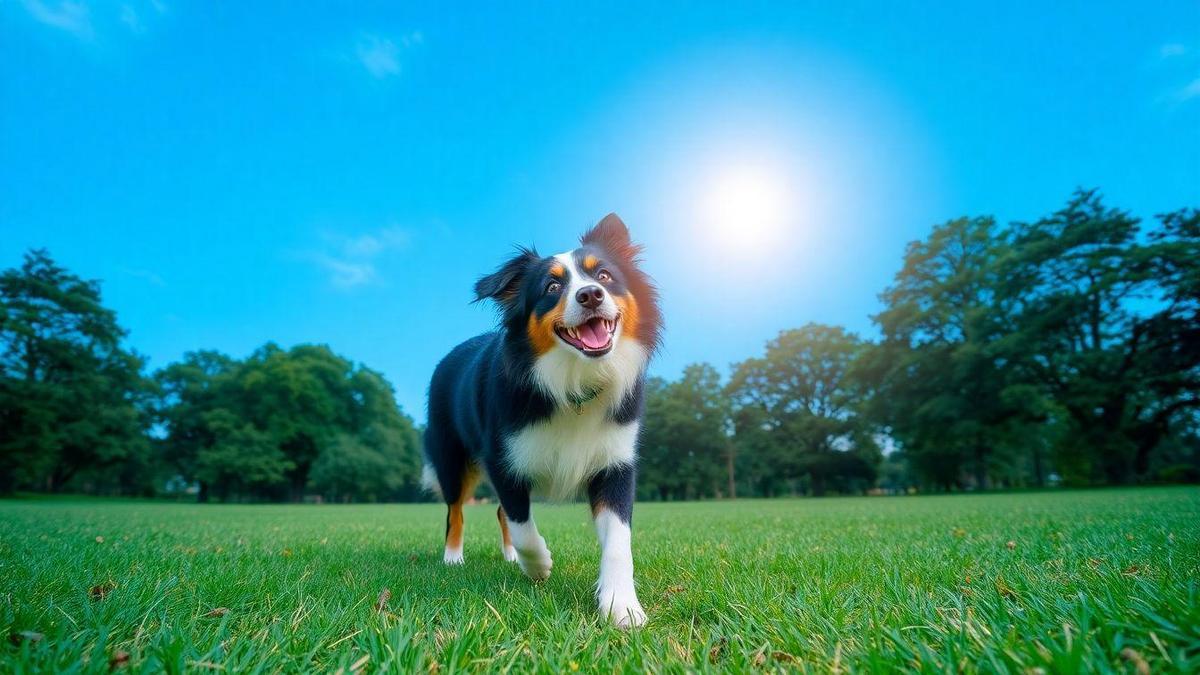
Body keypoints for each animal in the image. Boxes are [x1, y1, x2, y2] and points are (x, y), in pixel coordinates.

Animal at [422, 211, 662, 624]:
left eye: (604, 276)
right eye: (551, 286)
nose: (590, 295)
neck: (574, 381)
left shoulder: (615, 462)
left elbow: (619, 539)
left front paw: (622, 606)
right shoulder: (504, 458)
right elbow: (522, 525)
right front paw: (538, 566)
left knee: (498, 510)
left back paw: (507, 557)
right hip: (451, 454)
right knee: (457, 510)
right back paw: (454, 558)